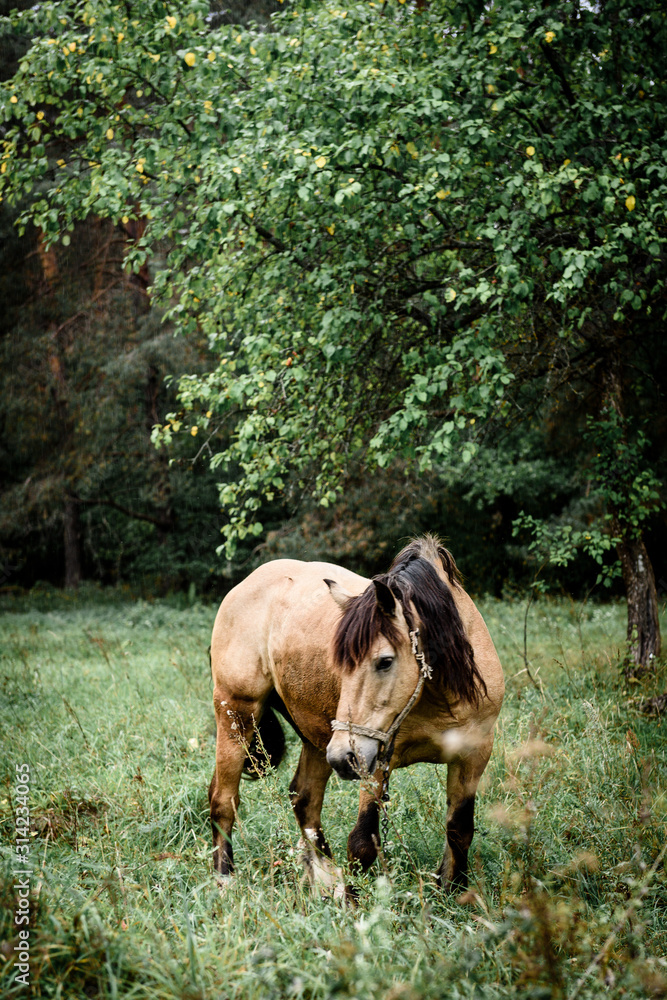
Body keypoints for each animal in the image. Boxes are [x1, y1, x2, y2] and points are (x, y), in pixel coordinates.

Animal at [208, 535, 504, 898]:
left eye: (385, 661)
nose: (342, 758)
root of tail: (244, 586)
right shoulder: (375, 761)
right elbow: (362, 842)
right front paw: (353, 902)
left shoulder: (473, 755)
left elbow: (459, 829)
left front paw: (454, 892)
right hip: (238, 713)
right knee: (224, 799)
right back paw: (225, 879)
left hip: (315, 736)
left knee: (304, 798)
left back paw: (324, 878)